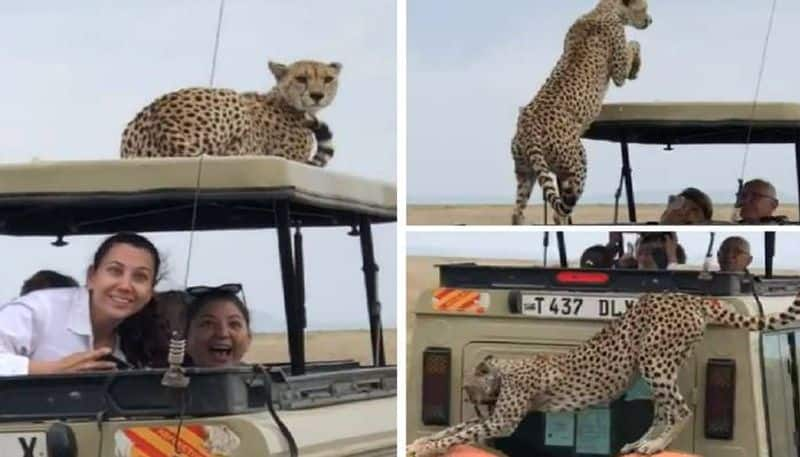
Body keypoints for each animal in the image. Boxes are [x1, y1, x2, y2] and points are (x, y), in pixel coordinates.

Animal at [410, 290, 800, 454]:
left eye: (470, 389)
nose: (472, 397)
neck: (506, 369)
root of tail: (688, 296)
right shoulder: (494, 417)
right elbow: (457, 429)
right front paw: (421, 441)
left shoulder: (502, 420)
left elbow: (461, 432)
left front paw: (426, 446)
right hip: (660, 362)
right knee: (664, 409)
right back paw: (642, 443)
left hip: (654, 359)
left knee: (681, 408)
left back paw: (655, 444)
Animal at [512, 0, 648, 224]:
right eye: (644, 8)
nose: (649, 20)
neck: (603, 9)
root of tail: (528, 127)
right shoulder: (618, 70)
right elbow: (634, 45)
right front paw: (635, 68)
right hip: (577, 164)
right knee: (560, 212)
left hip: (526, 172)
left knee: (517, 211)